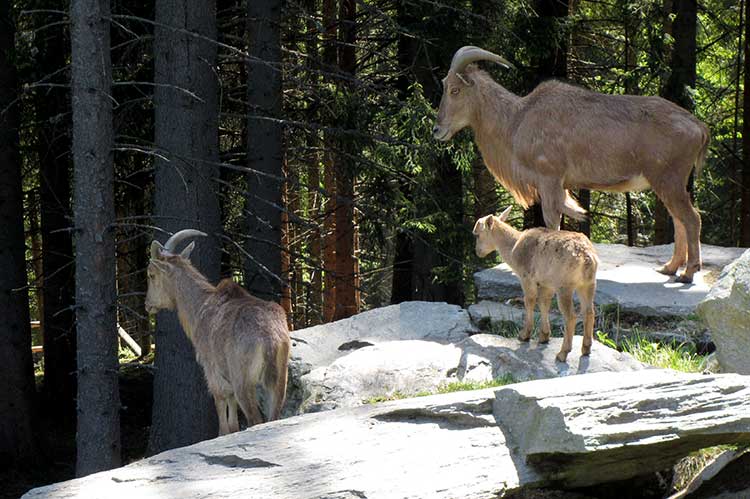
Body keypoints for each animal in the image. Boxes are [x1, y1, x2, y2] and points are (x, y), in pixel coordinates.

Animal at [146, 229, 290, 434]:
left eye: (151, 275)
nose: (147, 304)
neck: (200, 306)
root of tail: (270, 338)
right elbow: (233, 422)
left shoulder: (213, 373)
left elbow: (223, 420)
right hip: (278, 383)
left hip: (244, 383)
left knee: (255, 418)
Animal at [434, 46, 712, 286]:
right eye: (445, 86)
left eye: (455, 90)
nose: (437, 130)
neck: (517, 120)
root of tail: (698, 127)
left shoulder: (549, 179)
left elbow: (551, 222)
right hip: (669, 183)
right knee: (679, 220)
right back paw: (669, 267)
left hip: (669, 180)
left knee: (691, 218)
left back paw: (687, 273)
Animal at [476, 207, 600, 364]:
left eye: (477, 234)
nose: (477, 252)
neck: (512, 250)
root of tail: (588, 258)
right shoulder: (547, 283)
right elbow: (543, 303)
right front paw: (544, 336)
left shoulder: (526, 276)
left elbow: (529, 301)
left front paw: (524, 335)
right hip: (589, 283)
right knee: (589, 311)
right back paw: (586, 349)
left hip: (564, 285)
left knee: (571, 316)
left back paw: (562, 354)